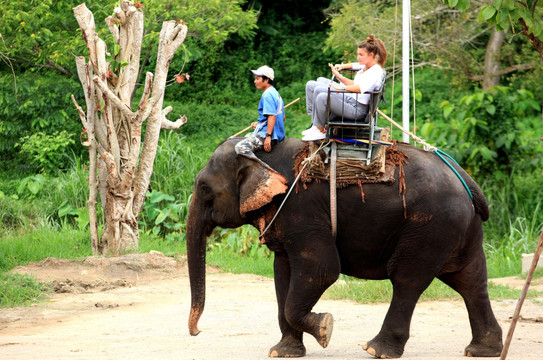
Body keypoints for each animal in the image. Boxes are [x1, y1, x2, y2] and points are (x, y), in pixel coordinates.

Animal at [187, 137, 506, 358]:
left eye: (204, 188)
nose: (197, 332)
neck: (260, 153)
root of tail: (465, 180)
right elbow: (282, 274)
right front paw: (283, 352)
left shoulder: (301, 210)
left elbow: (323, 269)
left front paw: (325, 328)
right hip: (458, 228)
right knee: (470, 280)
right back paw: (482, 351)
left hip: (429, 227)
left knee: (407, 280)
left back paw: (377, 351)